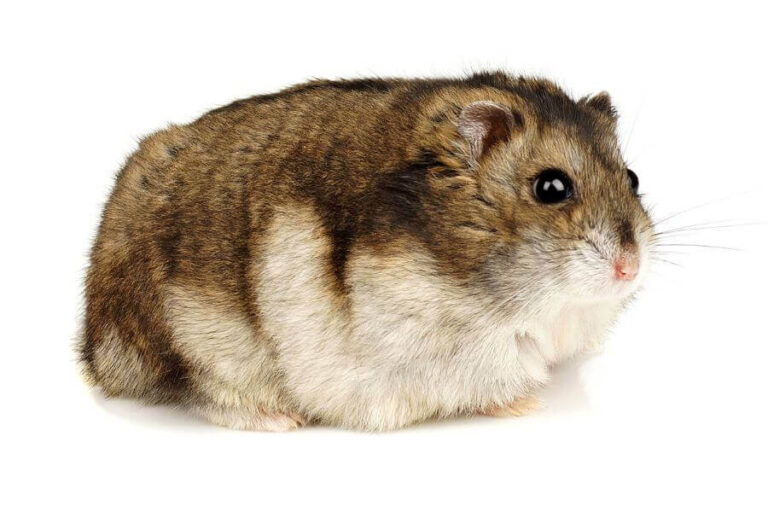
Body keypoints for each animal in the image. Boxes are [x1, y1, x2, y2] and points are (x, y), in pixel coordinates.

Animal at [79, 71, 653, 431]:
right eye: (551, 188)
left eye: (632, 177)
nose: (630, 268)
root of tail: (93, 343)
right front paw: (528, 406)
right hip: (189, 339)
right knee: (198, 392)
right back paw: (281, 421)